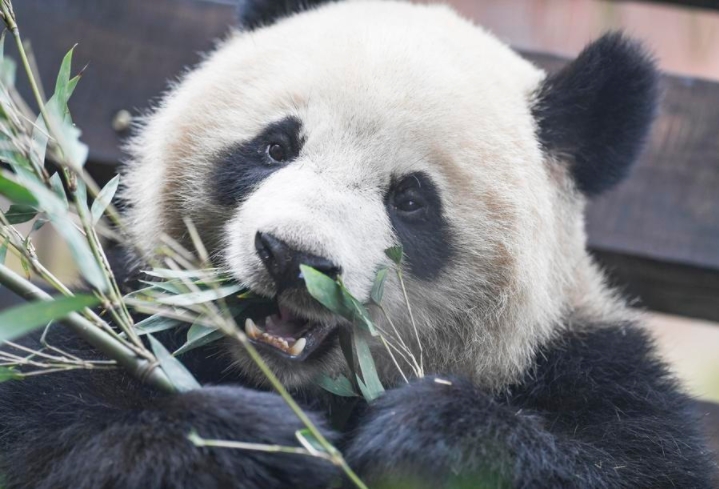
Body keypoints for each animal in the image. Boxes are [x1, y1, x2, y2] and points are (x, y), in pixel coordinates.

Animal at [1, 0, 719, 486]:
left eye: (410, 200)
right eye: (276, 146)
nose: (292, 256)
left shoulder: (594, 371)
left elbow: (631, 462)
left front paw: (423, 435)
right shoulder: (113, 311)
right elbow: (47, 425)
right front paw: (259, 440)